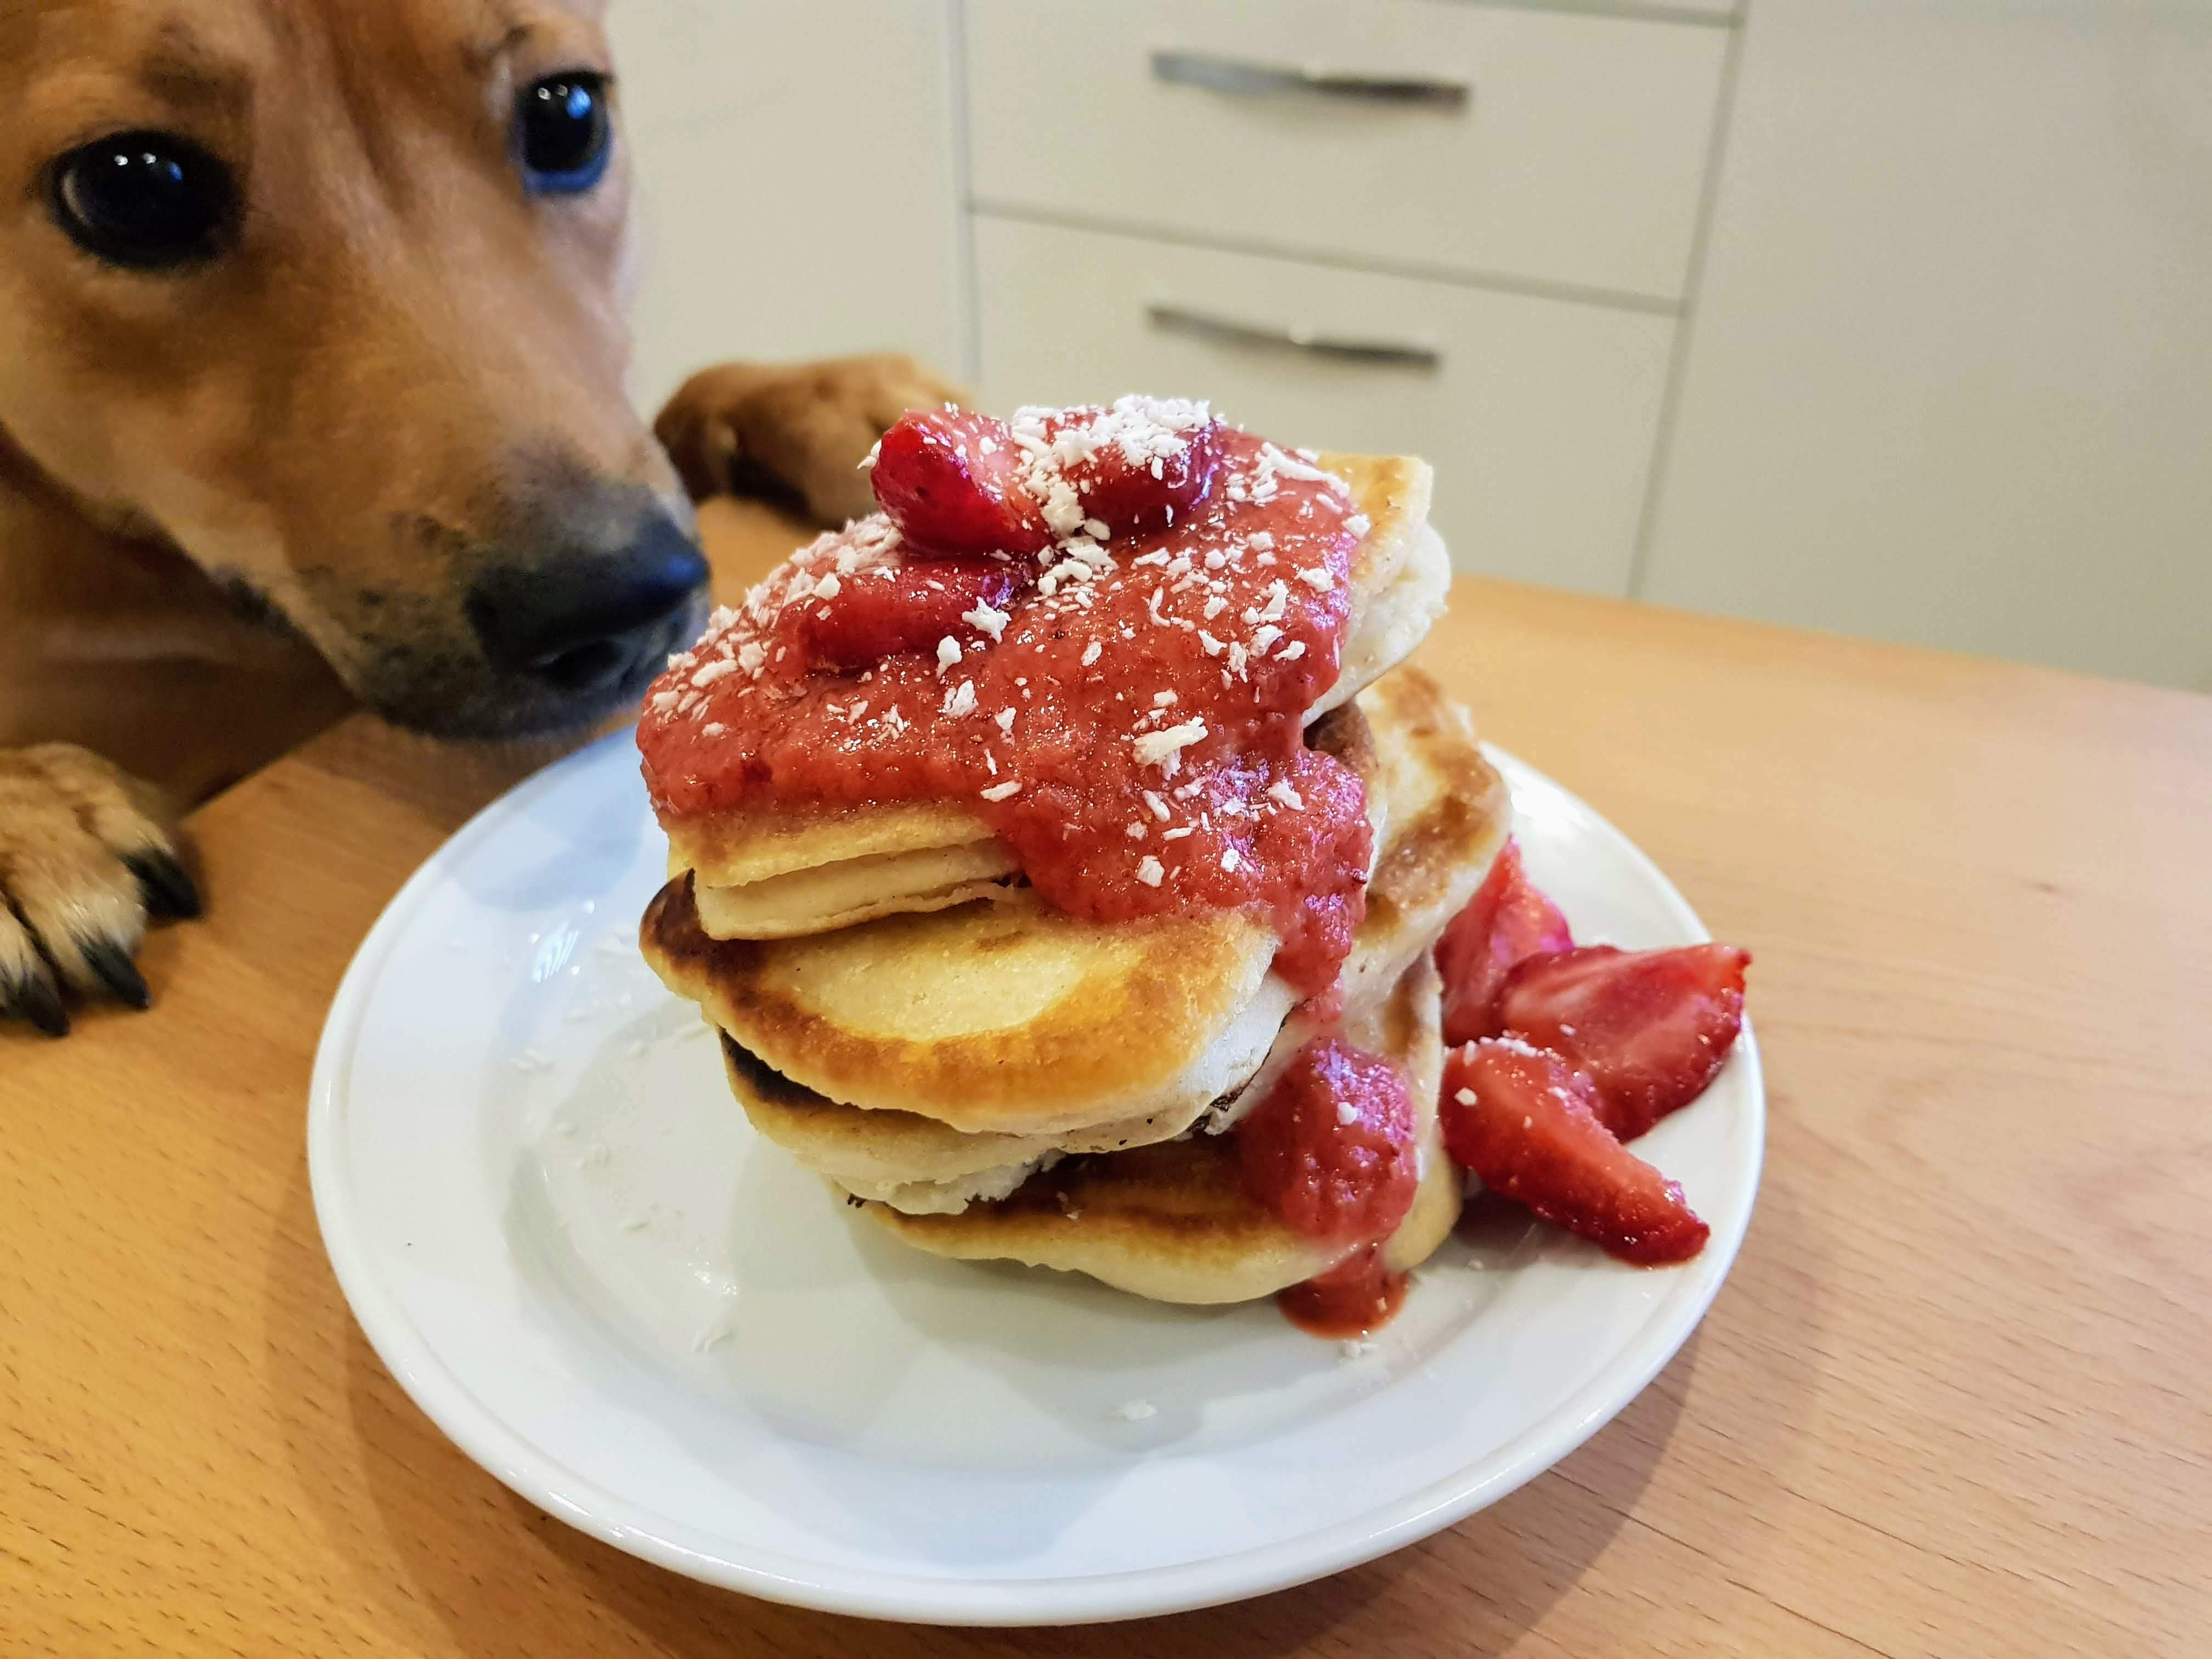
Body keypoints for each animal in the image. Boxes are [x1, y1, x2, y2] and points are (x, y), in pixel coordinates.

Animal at [6, 0, 960, 1035]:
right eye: (132, 190)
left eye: (568, 116)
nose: (615, 603)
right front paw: (30, 821)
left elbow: (685, 405)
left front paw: (831, 398)